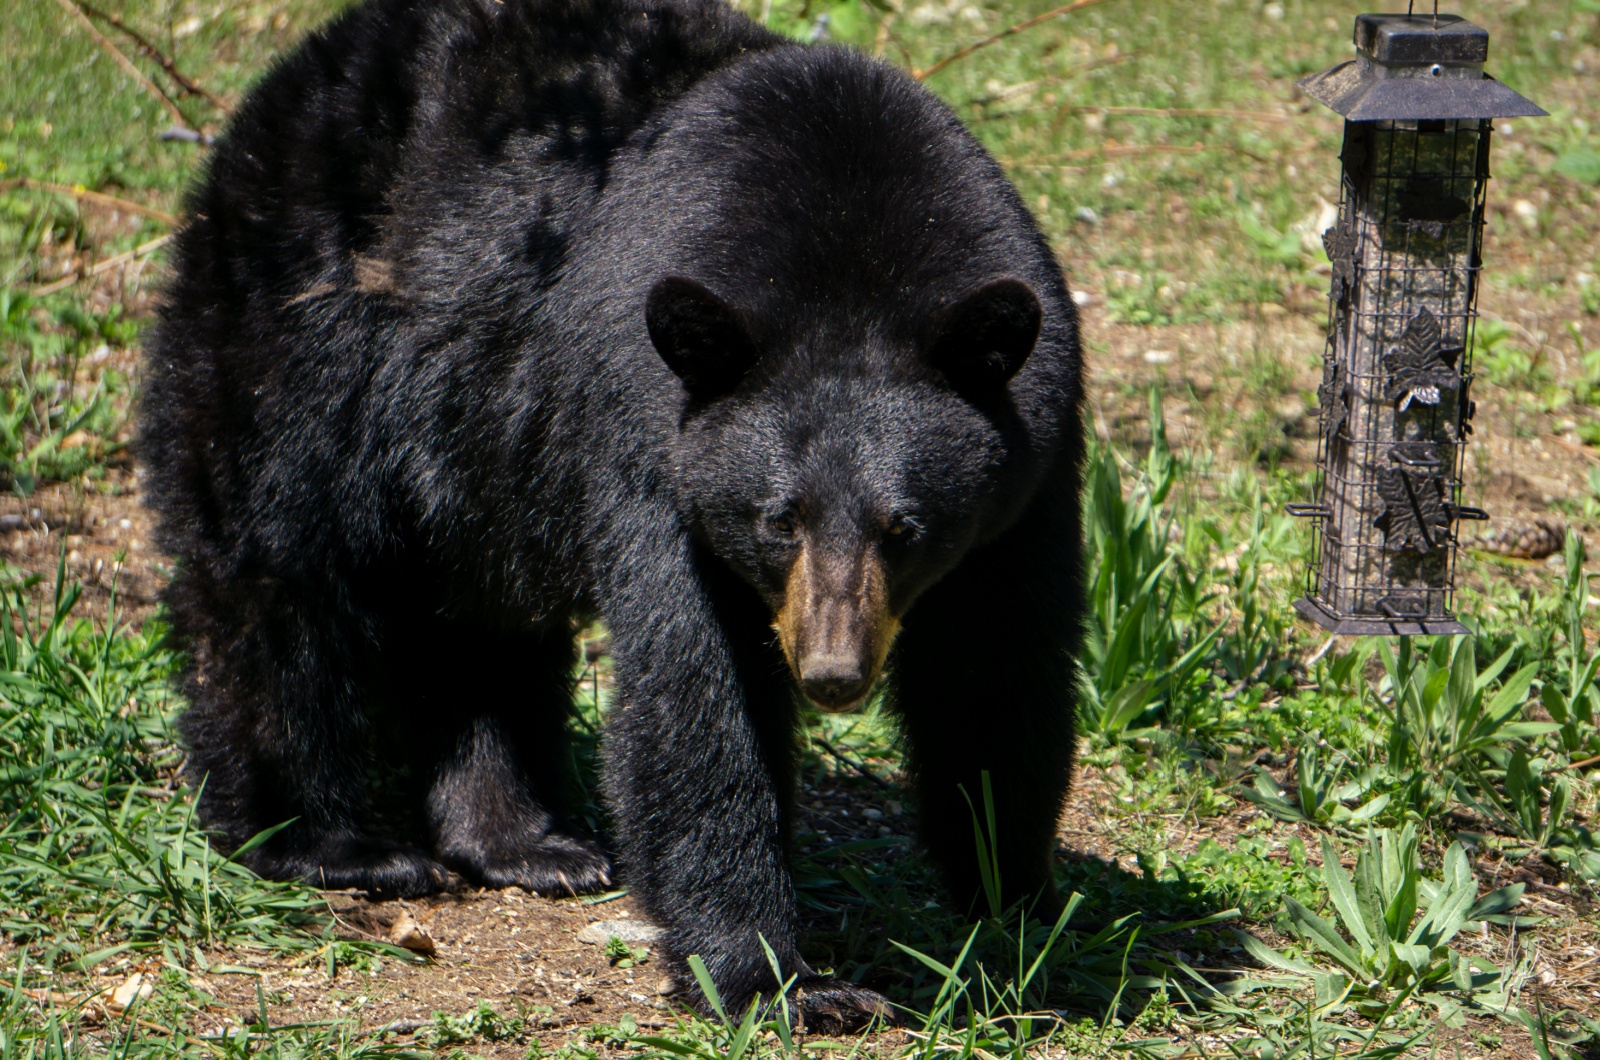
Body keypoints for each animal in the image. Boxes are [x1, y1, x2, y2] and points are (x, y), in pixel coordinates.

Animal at [140, 0, 1088, 1031]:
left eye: (904, 528)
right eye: (779, 520)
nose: (833, 673)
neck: (850, 243)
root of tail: (292, 85)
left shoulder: (1027, 474)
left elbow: (995, 665)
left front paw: (1017, 895)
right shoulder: (648, 435)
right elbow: (694, 689)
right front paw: (781, 980)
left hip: (477, 455)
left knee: (480, 626)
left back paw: (525, 841)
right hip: (298, 336)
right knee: (280, 578)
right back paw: (326, 841)